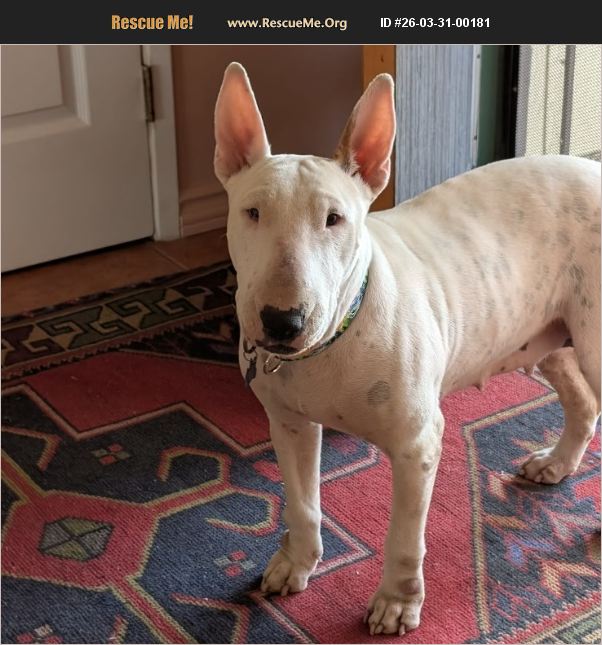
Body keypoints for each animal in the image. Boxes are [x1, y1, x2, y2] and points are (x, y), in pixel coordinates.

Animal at [213, 62, 601, 635]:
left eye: (335, 219)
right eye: (253, 212)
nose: (283, 322)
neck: (334, 339)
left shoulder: (417, 444)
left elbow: (403, 537)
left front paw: (397, 603)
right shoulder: (289, 423)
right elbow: (302, 502)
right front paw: (295, 563)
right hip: (549, 329)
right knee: (582, 401)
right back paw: (556, 463)